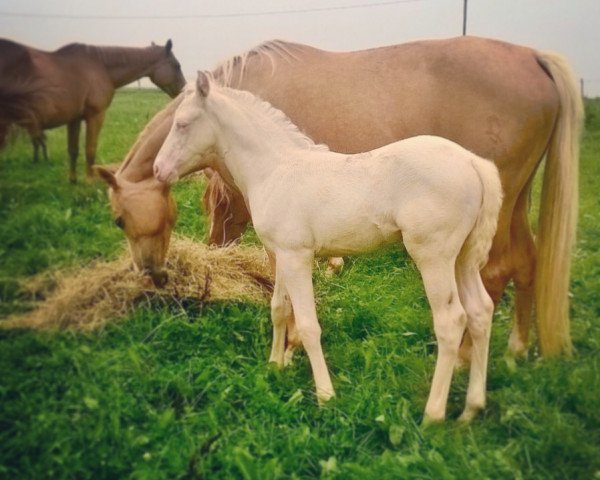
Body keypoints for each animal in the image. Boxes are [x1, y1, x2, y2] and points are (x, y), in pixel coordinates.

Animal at [0, 38, 185, 181]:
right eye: (176, 65)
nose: (183, 90)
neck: (101, 66)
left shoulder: (74, 119)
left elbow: (73, 150)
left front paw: (73, 180)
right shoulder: (95, 116)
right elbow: (90, 149)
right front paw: (89, 180)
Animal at [97, 35, 580, 358]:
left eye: (120, 220)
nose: (151, 274)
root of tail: (532, 56)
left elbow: (277, 275)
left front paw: (291, 341)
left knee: (494, 274)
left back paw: (461, 361)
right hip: (513, 201)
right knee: (526, 263)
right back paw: (516, 349)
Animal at [154, 73, 502, 422]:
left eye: (182, 123)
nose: (159, 170)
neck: (274, 169)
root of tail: (473, 162)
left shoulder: (297, 257)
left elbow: (308, 324)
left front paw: (325, 394)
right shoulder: (280, 254)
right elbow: (279, 308)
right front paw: (275, 365)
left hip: (433, 257)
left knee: (451, 321)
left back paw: (433, 414)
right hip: (463, 258)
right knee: (480, 311)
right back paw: (471, 409)